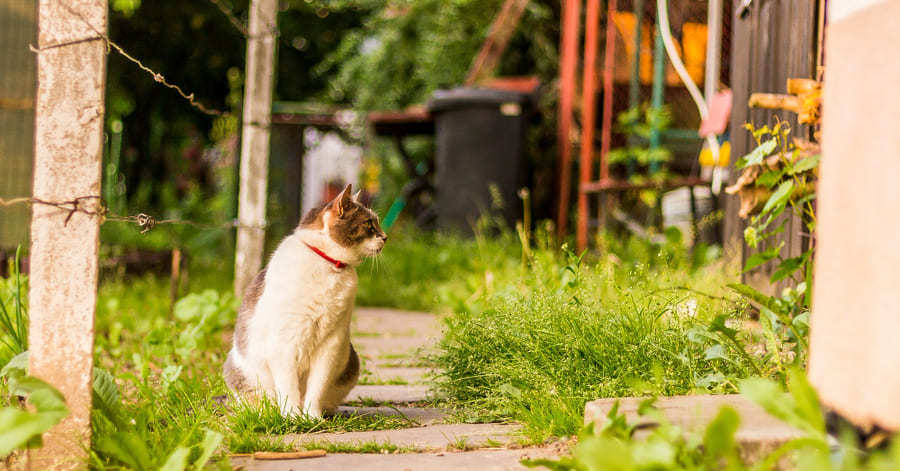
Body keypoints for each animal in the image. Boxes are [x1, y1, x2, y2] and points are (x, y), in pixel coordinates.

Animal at [225, 183, 386, 418]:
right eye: (369, 223)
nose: (385, 236)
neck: (327, 265)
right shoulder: (285, 344)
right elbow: (288, 387)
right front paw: (292, 417)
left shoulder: (331, 345)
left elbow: (317, 388)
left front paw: (312, 418)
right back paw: (272, 413)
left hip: (351, 361)